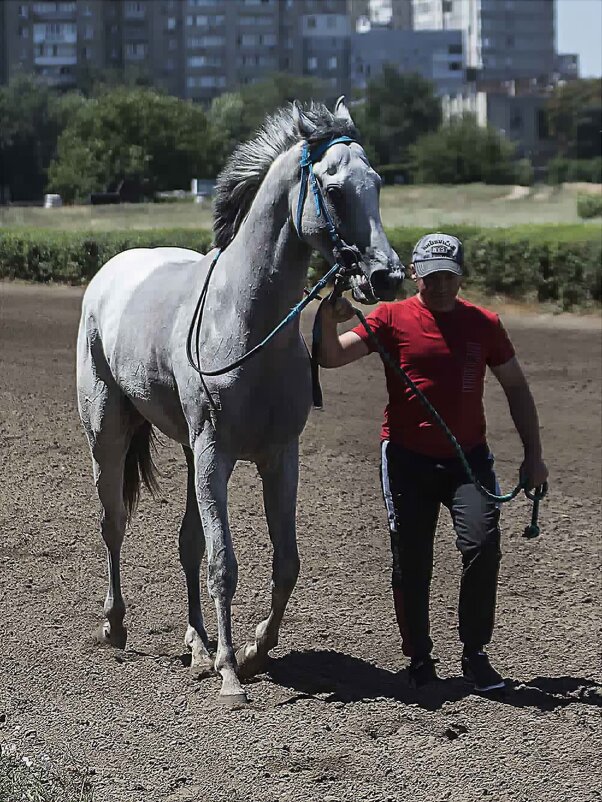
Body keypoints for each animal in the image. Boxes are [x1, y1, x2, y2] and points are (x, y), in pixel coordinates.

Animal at [76, 98, 404, 700]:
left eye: (376, 184)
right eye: (334, 188)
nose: (386, 276)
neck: (247, 326)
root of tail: (111, 271)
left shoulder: (279, 457)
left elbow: (285, 561)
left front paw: (253, 651)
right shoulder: (215, 455)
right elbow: (223, 562)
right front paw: (231, 674)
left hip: (187, 453)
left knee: (186, 541)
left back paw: (197, 645)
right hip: (108, 433)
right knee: (113, 523)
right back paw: (116, 625)